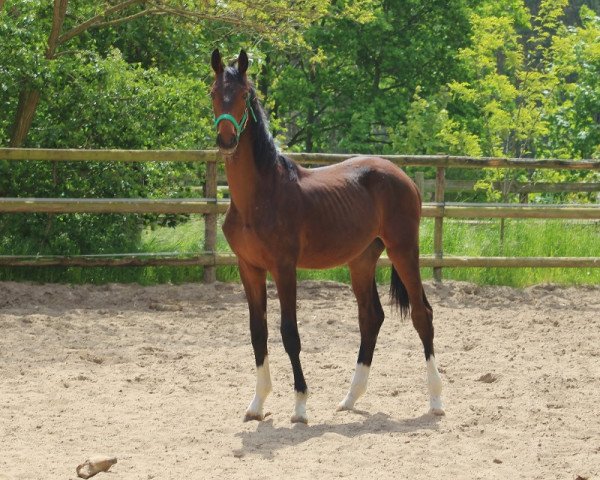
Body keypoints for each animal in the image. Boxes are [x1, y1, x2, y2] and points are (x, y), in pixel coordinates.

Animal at [212, 48, 446, 424]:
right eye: (213, 93)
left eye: (244, 94)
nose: (226, 140)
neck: (260, 196)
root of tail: (403, 177)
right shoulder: (249, 268)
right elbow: (258, 332)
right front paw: (257, 404)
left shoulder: (284, 268)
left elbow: (289, 333)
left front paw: (300, 405)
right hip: (362, 259)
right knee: (371, 318)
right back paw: (350, 398)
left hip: (403, 250)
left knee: (422, 314)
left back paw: (436, 400)